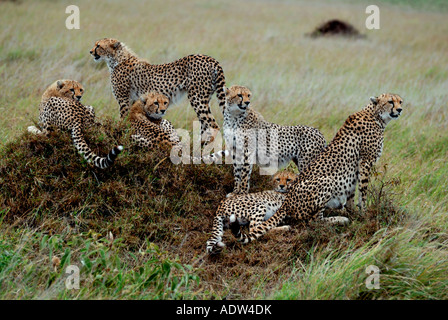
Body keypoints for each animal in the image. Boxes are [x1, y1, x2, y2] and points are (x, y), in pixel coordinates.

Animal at [89, 37, 226, 144]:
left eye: (98, 46)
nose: (90, 51)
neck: (117, 59)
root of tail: (210, 58)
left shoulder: (124, 100)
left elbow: (123, 119)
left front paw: (121, 136)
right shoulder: (134, 101)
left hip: (197, 98)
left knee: (213, 125)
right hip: (204, 98)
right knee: (205, 124)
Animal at [233, 92, 404, 242]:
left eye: (400, 101)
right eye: (390, 101)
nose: (400, 109)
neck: (376, 116)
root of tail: (286, 202)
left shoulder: (355, 171)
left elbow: (351, 194)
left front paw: (354, 212)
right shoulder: (365, 162)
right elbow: (363, 191)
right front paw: (364, 213)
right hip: (327, 182)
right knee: (314, 221)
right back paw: (339, 219)